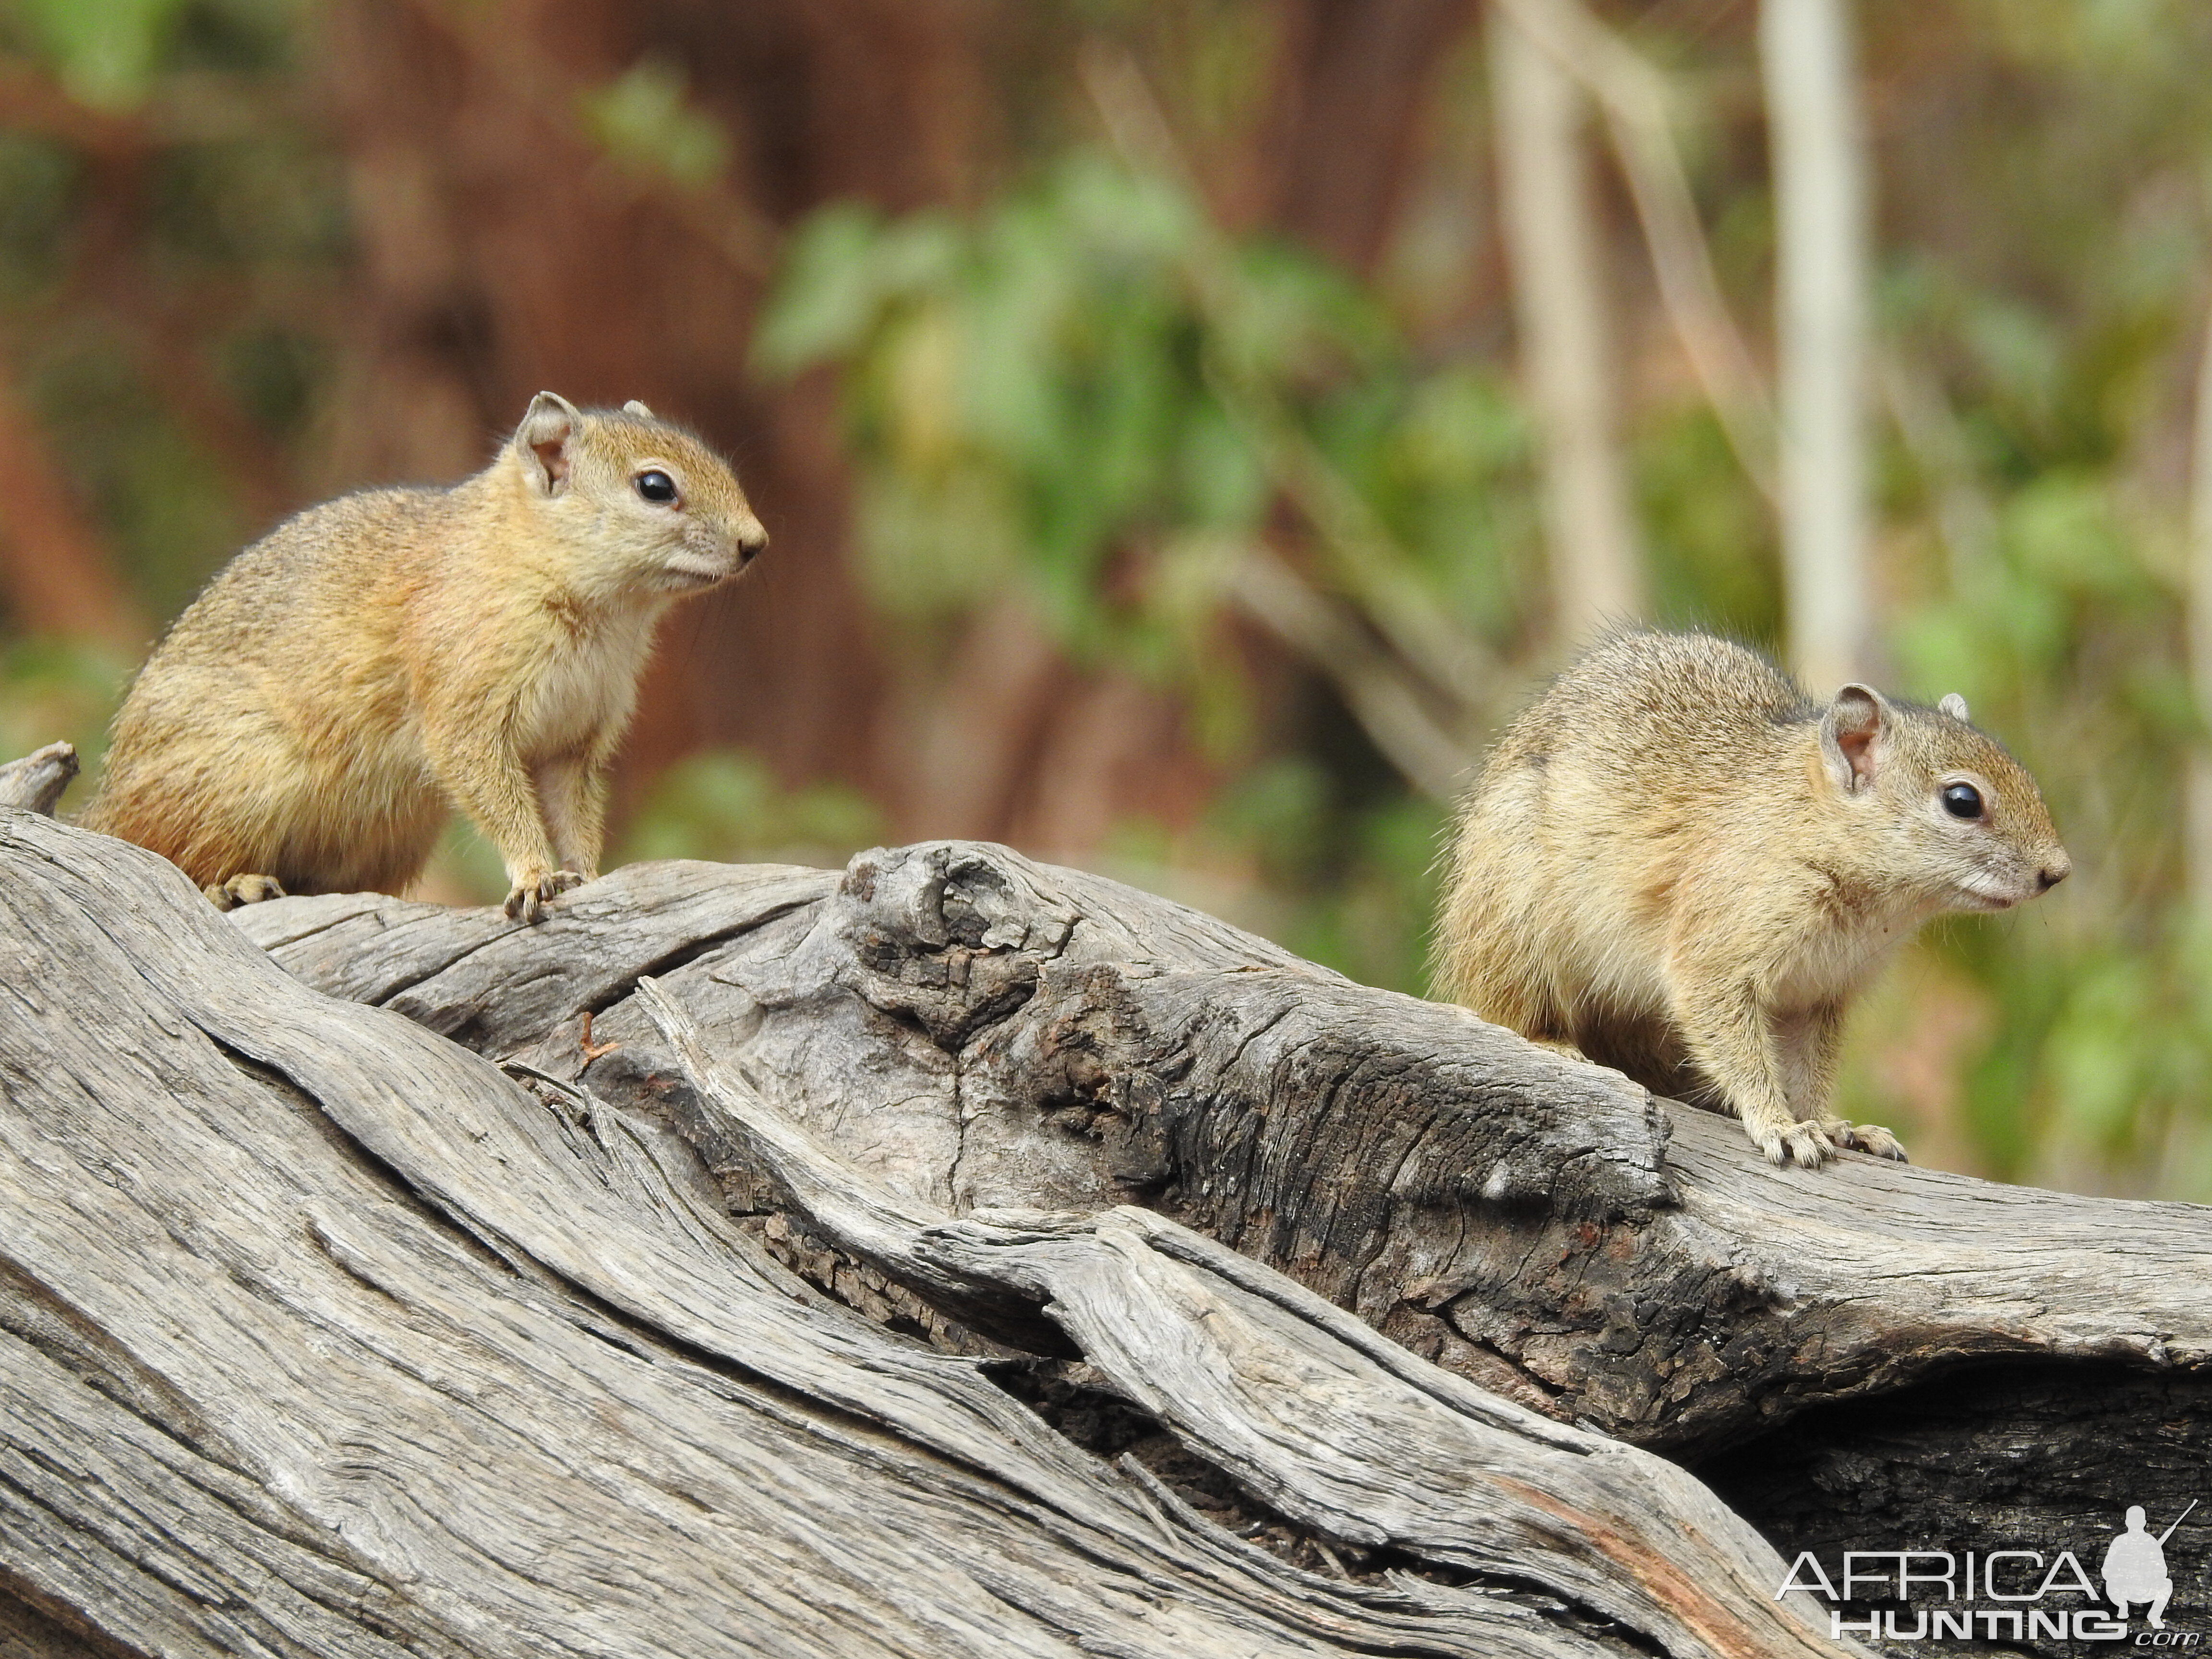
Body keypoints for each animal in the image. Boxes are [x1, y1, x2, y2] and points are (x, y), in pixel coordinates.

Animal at [80, 398, 769, 929]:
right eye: (655, 486)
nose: (756, 543)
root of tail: (101, 810)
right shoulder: (466, 713)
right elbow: (501, 801)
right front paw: (533, 876)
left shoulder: (571, 743)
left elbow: (572, 814)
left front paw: (586, 873)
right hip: (237, 778)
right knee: (172, 858)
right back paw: (234, 885)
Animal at [1433, 632, 2070, 1168]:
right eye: (1962, 800)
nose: (2058, 871)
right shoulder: (1715, 954)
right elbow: (1739, 1049)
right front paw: (1779, 1126)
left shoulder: (1819, 995)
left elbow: (1809, 1071)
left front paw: (1833, 1126)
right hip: (1513, 925)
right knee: (1505, 1010)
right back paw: (1554, 1046)